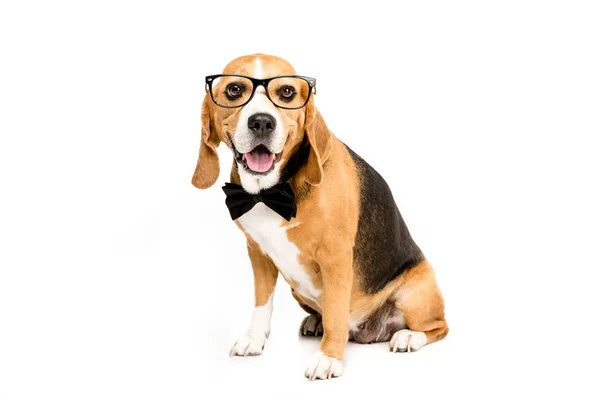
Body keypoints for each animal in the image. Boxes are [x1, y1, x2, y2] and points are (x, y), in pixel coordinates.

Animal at [190, 54, 448, 380]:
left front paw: (328, 358)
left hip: (414, 293)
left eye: (287, 92)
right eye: (234, 90)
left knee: (438, 327)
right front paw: (254, 339)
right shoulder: (257, 253)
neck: (272, 191)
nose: (261, 122)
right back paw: (315, 322)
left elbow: (337, 312)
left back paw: (408, 337)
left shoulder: (336, 259)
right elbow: (262, 302)